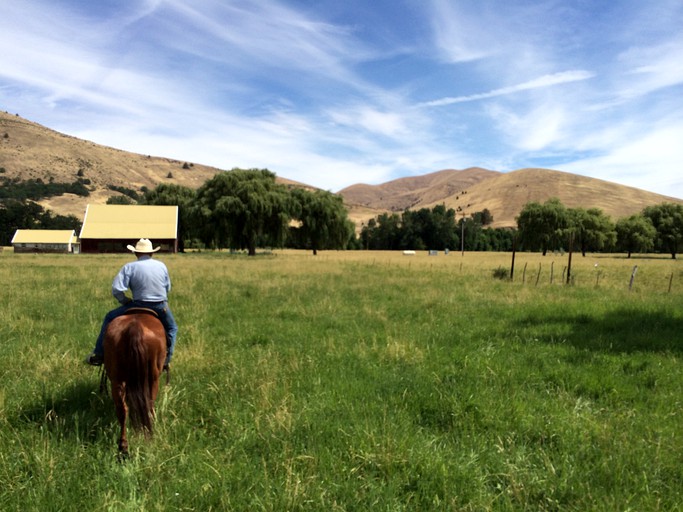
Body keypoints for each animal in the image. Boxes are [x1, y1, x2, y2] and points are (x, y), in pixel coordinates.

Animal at [103, 310, 167, 454]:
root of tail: (134, 329)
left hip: (116, 379)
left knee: (122, 410)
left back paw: (123, 446)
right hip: (153, 379)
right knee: (149, 405)